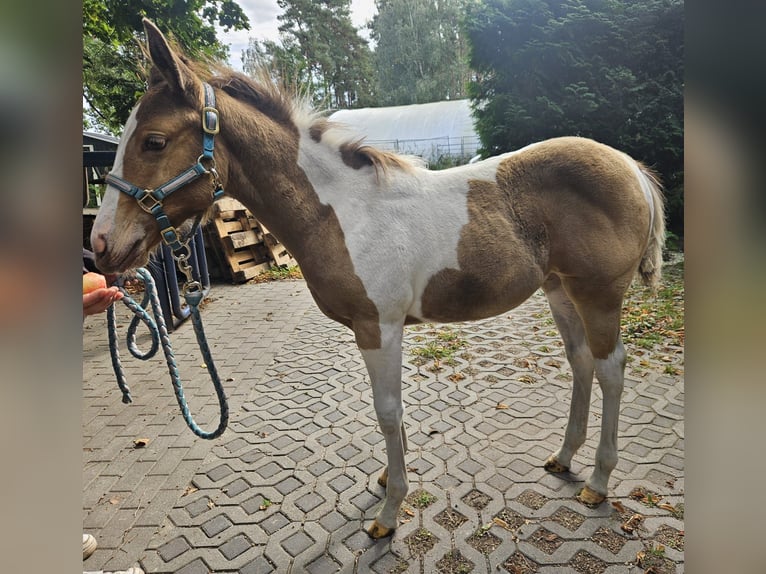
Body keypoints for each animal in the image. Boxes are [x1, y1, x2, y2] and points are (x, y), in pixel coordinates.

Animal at [90, 19, 666, 539]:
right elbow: (394, 414)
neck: (342, 212)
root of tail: (631, 167)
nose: (102, 245)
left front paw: (389, 514)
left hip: (599, 295)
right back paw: (564, 458)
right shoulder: (384, 329)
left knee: (612, 368)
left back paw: (598, 481)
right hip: (560, 290)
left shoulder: (378, 327)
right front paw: (391, 479)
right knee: (582, 362)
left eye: (154, 141)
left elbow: (387, 412)